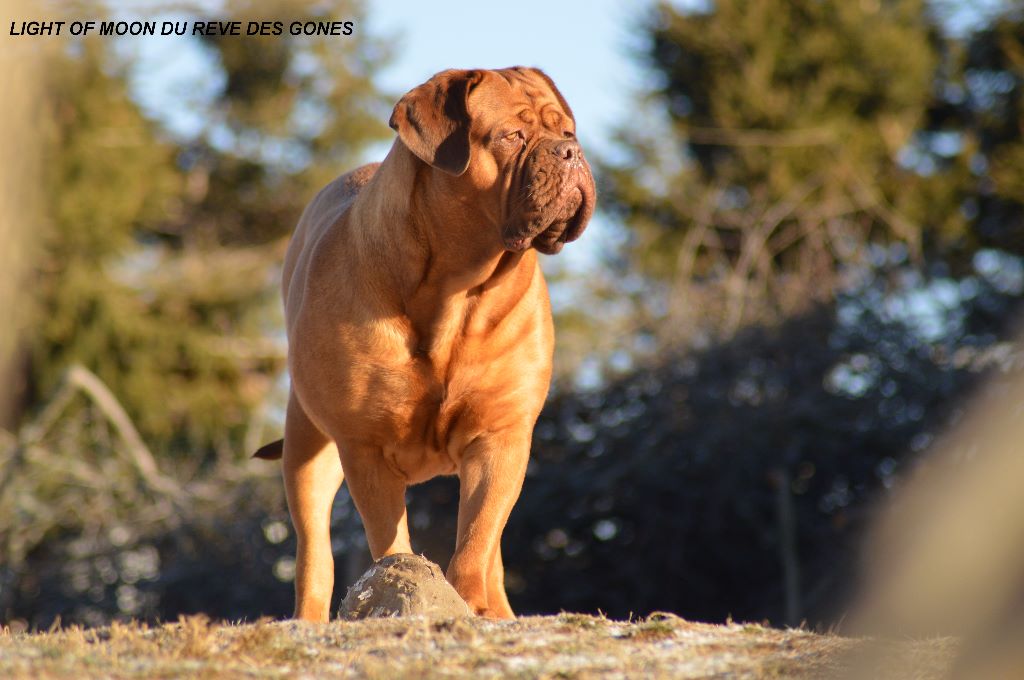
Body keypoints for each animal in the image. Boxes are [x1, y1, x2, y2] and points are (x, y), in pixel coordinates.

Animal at [251, 67, 598, 622]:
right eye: (511, 136)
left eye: (567, 131)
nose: (570, 152)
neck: (458, 293)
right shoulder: (366, 446)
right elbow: (391, 542)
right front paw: (405, 590)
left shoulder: (500, 436)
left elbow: (478, 538)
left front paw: (471, 603)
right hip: (307, 448)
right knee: (313, 552)